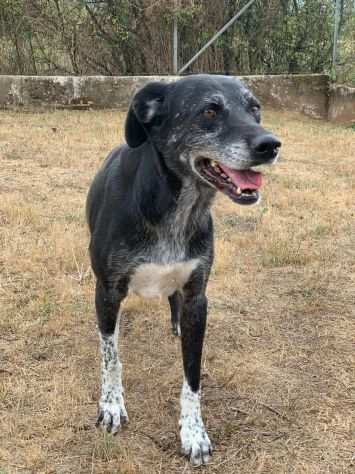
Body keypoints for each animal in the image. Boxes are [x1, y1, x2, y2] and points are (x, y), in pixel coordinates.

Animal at [86, 76, 280, 464]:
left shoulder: (196, 296)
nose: (270, 145)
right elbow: (110, 357)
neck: (177, 206)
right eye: (209, 111)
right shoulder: (108, 290)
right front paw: (112, 405)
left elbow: (193, 375)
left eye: (255, 108)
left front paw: (194, 433)